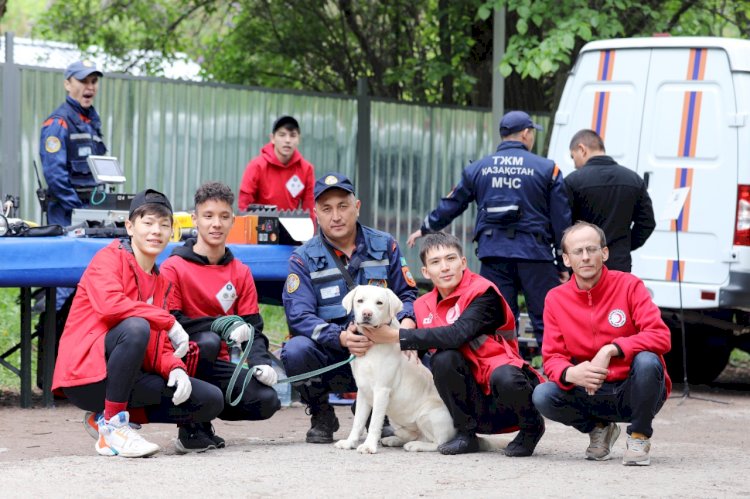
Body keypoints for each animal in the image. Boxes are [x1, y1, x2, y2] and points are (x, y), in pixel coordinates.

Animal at [334, 284, 458, 456]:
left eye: (379, 303)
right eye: (360, 301)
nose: (367, 314)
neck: (371, 343)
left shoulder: (381, 390)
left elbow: (374, 422)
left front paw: (368, 446)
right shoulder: (363, 390)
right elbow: (358, 422)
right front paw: (349, 442)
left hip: (427, 415)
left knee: (438, 443)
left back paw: (416, 445)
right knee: (413, 434)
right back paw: (394, 440)